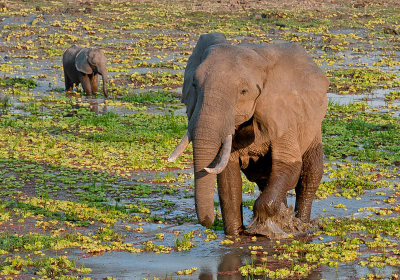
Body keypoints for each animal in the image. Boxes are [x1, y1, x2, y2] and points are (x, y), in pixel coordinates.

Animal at [169, 32, 328, 238]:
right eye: (194, 85)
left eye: (243, 91)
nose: (208, 221)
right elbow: (228, 180)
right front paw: (236, 236)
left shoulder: (284, 114)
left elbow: (289, 165)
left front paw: (263, 228)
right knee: (264, 177)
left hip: (313, 128)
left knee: (309, 176)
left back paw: (302, 225)